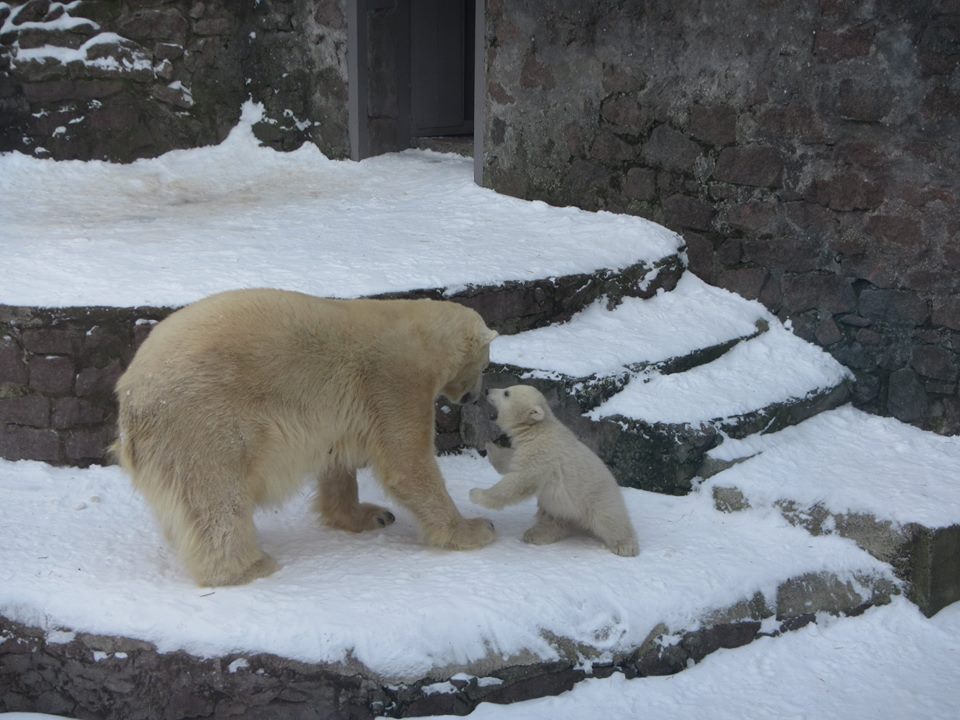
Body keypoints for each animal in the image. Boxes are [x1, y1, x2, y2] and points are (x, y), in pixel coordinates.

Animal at [114, 290, 496, 588]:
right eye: (485, 366)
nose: (474, 396)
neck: (419, 333)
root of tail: (131, 397)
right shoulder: (395, 379)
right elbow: (406, 462)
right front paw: (476, 529)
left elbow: (338, 459)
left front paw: (371, 515)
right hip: (204, 420)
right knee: (216, 497)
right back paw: (249, 566)